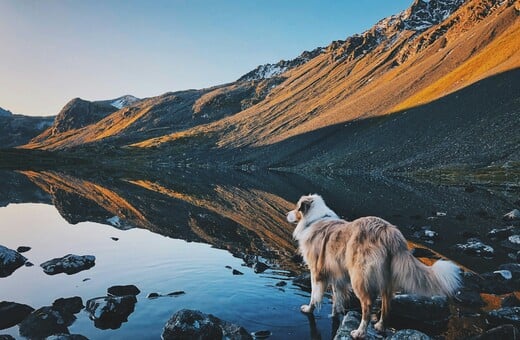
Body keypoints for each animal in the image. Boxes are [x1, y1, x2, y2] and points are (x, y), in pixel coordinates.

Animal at [286, 193, 462, 338]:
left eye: (297, 207)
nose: (287, 214)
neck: (314, 220)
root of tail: (388, 231)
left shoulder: (316, 272)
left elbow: (314, 295)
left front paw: (309, 309)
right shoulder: (336, 274)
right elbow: (337, 298)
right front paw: (335, 314)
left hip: (359, 277)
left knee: (368, 305)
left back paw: (359, 332)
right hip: (385, 278)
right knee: (387, 302)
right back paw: (380, 326)